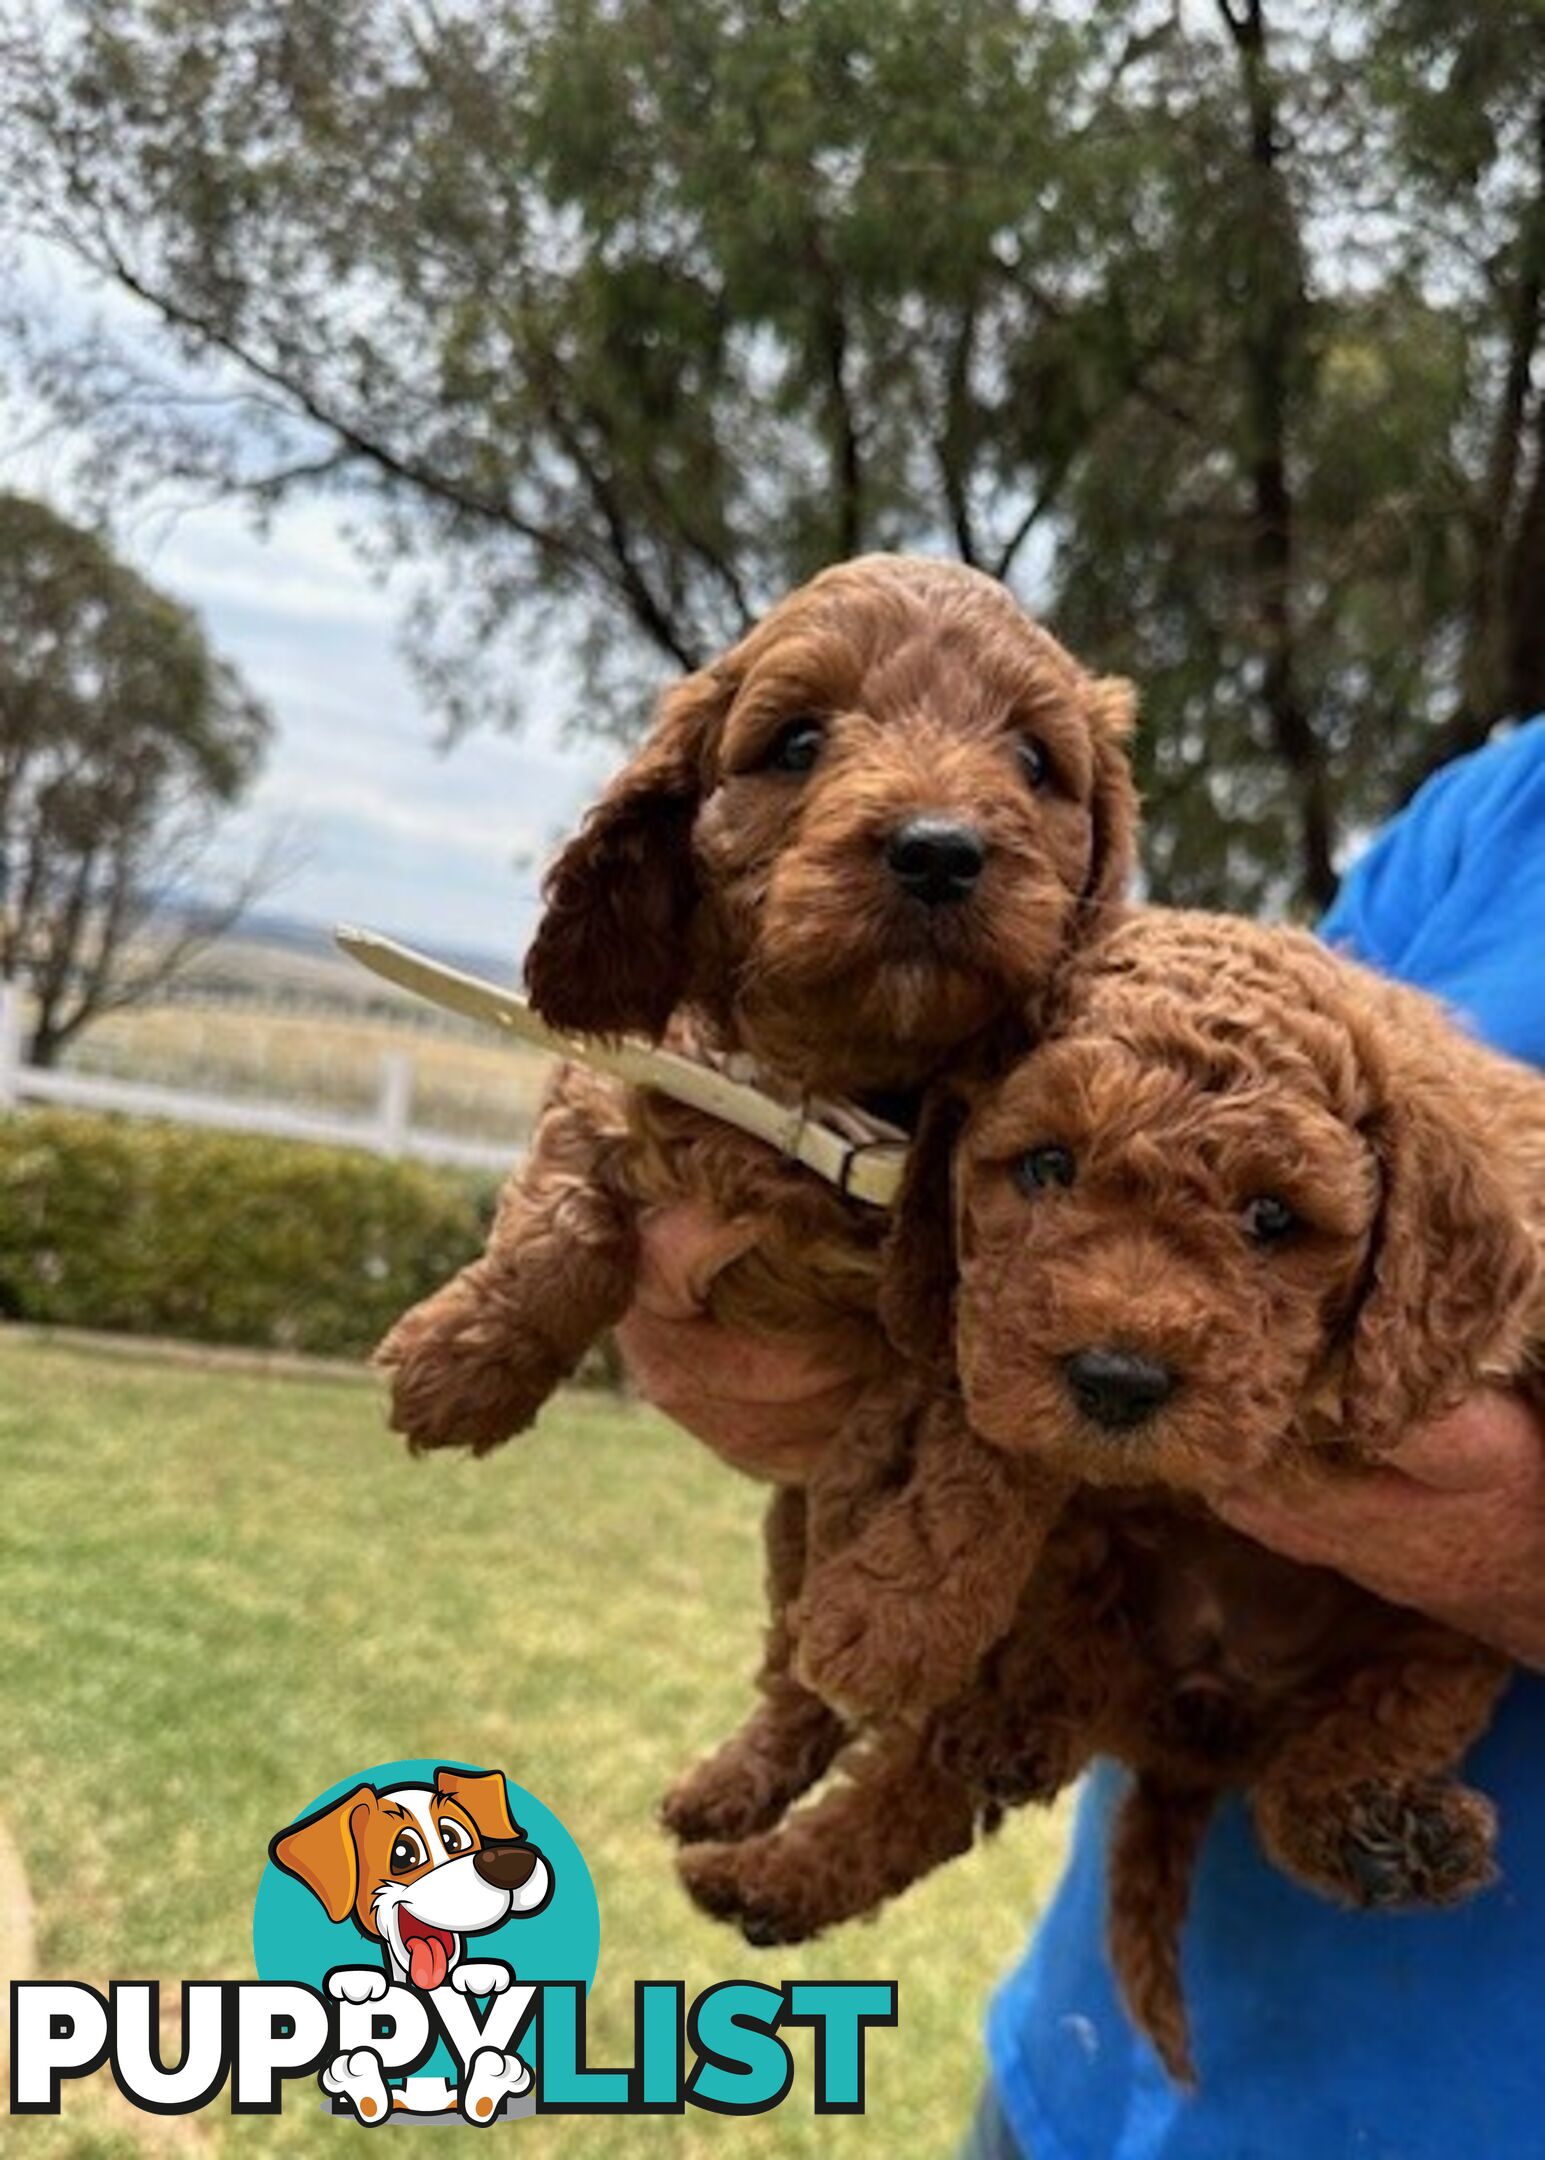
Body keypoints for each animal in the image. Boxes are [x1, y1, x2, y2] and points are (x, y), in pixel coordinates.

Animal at [373, 552, 1132, 1840]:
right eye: (798, 740)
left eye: (1035, 761)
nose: (939, 849)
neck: (835, 1098)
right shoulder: (622, 1075)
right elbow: (564, 1217)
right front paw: (460, 1364)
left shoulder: (1023, 1290)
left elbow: (976, 1458)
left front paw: (901, 1617)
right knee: (793, 1679)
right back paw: (728, 1791)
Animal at [687, 907, 1545, 2073]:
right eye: (1047, 1165)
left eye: (1272, 1217)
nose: (1119, 1383)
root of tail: (1198, 1730)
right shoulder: (987, 1324)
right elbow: (991, 1423)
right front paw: (896, 1615)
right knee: (948, 1759)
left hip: (1437, 1644)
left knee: (1367, 1730)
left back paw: (1379, 1832)